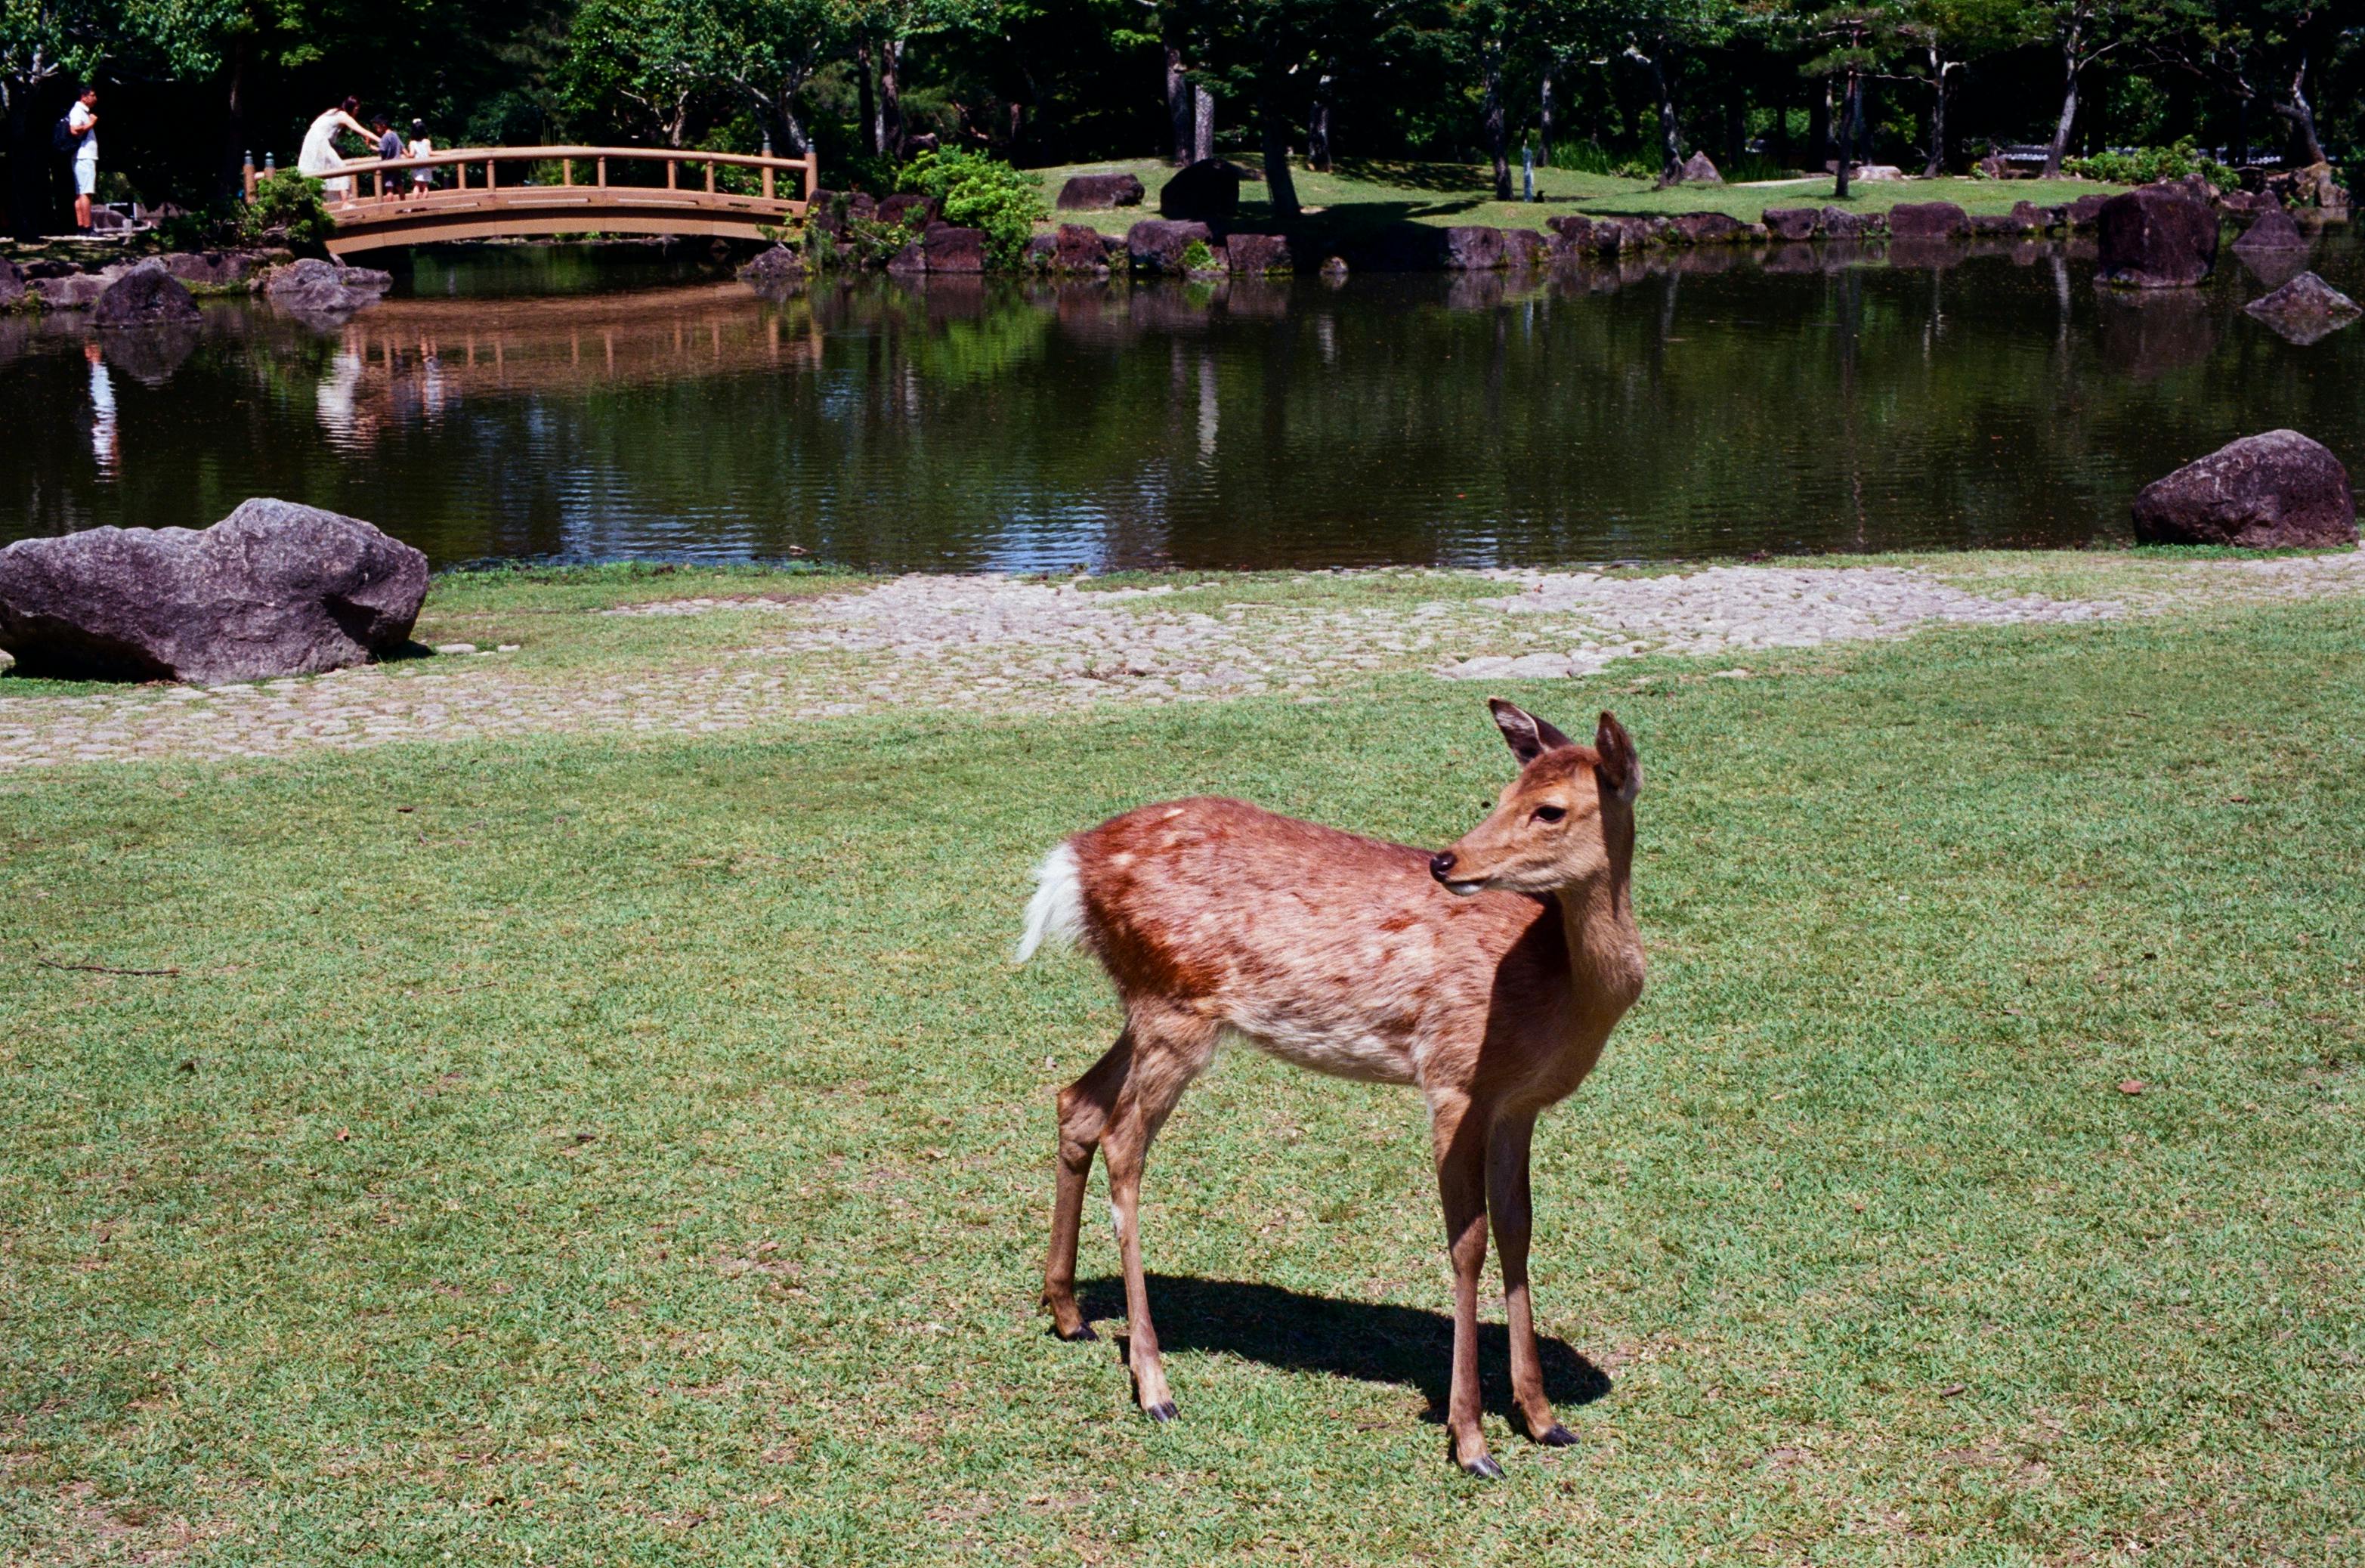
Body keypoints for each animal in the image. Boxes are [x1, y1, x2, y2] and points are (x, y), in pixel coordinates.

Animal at [1015, 699, 1644, 1478]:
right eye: (1500, 795)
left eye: (1549, 807)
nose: (1446, 860)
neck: (1559, 988)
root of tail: (1070, 863)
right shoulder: (1453, 1076)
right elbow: (1466, 1242)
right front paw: (1471, 1441)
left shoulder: (1517, 1103)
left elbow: (1518, 1229)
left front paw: (1543, 1417)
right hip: (1174, 1007)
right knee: (1123, 1141)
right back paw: (1155, 1384)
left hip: (1147, 1005)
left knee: (1076, 1102)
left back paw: (1069, 1313)